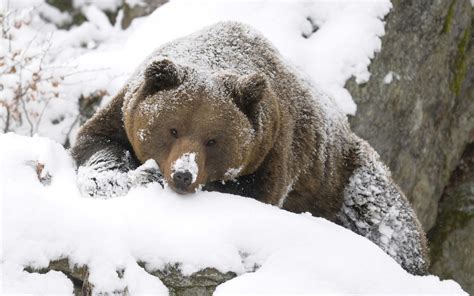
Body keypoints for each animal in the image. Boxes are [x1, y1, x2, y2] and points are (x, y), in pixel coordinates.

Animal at [70, 20, 430, 276]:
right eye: (172, 129)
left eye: (213, 139)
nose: (184, 174)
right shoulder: (123, 111)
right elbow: (97, 142)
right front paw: (112, 178)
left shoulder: (274, 149)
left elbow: (252, 193)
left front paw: (149, 177)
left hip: (344, 177)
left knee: (387, 220)